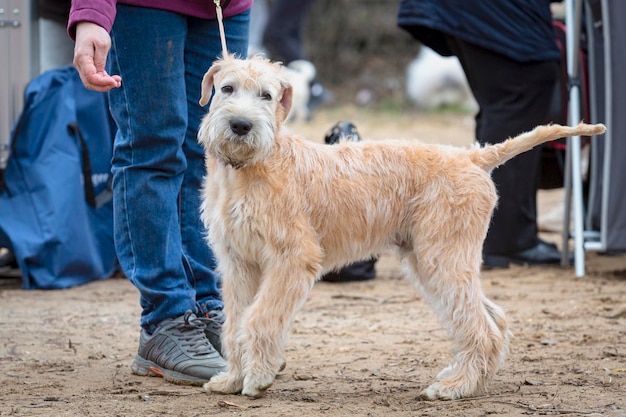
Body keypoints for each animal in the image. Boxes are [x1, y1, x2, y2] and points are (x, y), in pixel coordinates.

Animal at [196, 53, 604, 398]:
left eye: (266, 95)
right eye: (227, 88)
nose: (240, 125)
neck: (253, 166)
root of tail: (472, 157)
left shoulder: (292, 258)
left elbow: (259, 318)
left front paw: (257, 379)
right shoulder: (239, 263)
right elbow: (234, 324)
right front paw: (233, 379)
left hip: (443, 259)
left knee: (482, 327)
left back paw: (454, 387)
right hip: (431, 262)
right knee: (492, 319)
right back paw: (468, 380)